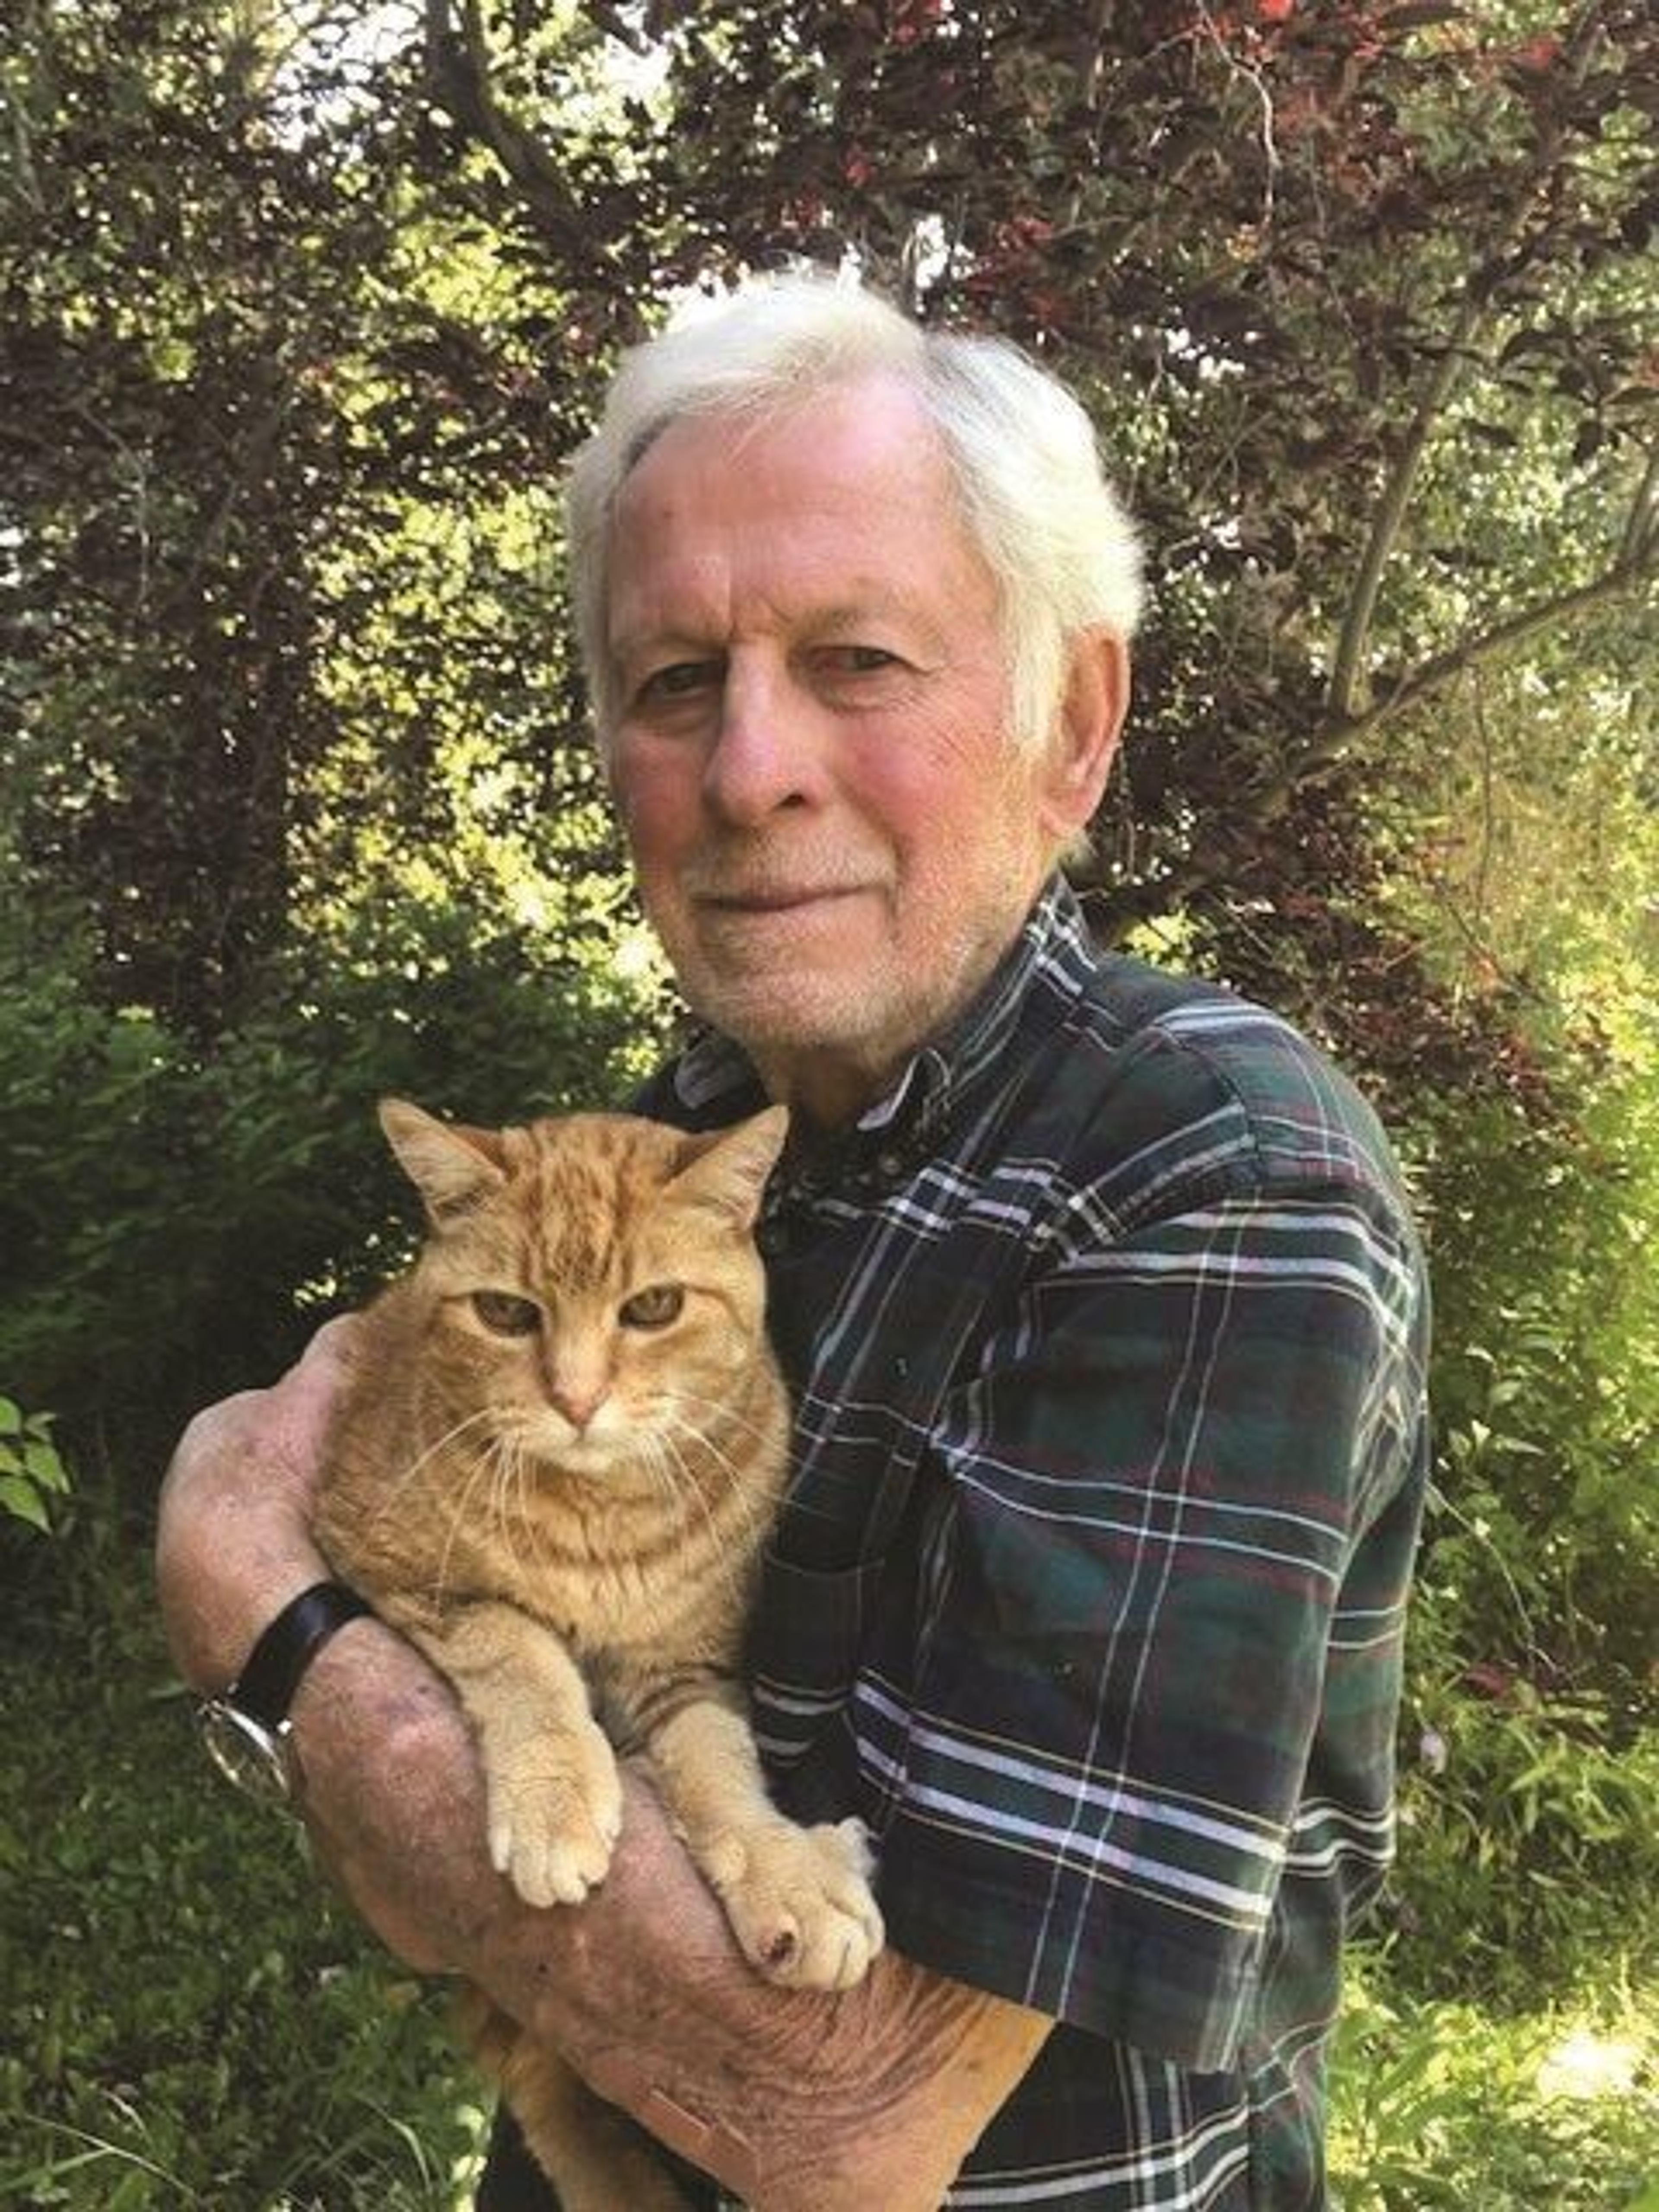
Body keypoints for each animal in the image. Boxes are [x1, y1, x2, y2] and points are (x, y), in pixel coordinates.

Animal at [314, 1101, 885, 2212]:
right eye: (506, 1313)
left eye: (653, 1306)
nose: (575, 1400)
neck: (600, 1517)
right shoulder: (388, 1565)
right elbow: (522, 1648)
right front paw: (556, 1799)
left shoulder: (692, 1671)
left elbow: (719, 1772)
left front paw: (786, 1869)